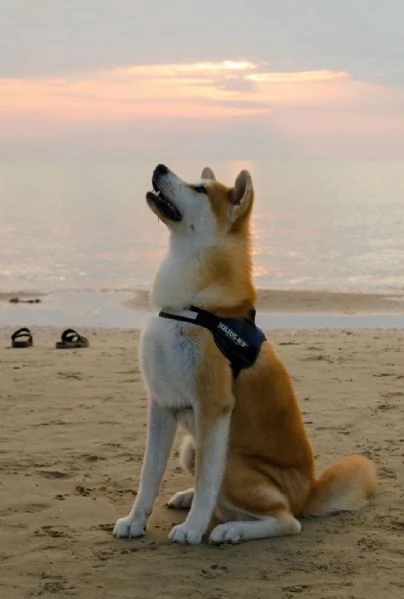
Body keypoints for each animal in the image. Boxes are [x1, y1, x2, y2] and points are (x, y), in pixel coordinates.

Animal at [112, 163, 378, 544]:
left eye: (200, 189)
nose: (159, 167)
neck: (190, 308)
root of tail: (308, 493)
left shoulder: (213, 409)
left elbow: (207, 481)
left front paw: (193, 528)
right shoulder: (161, 405)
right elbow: (148, 474)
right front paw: (135, 520)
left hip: (232, 462)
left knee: (285, 520)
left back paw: (231, 530)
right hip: (190, 447)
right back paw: (191, 500)